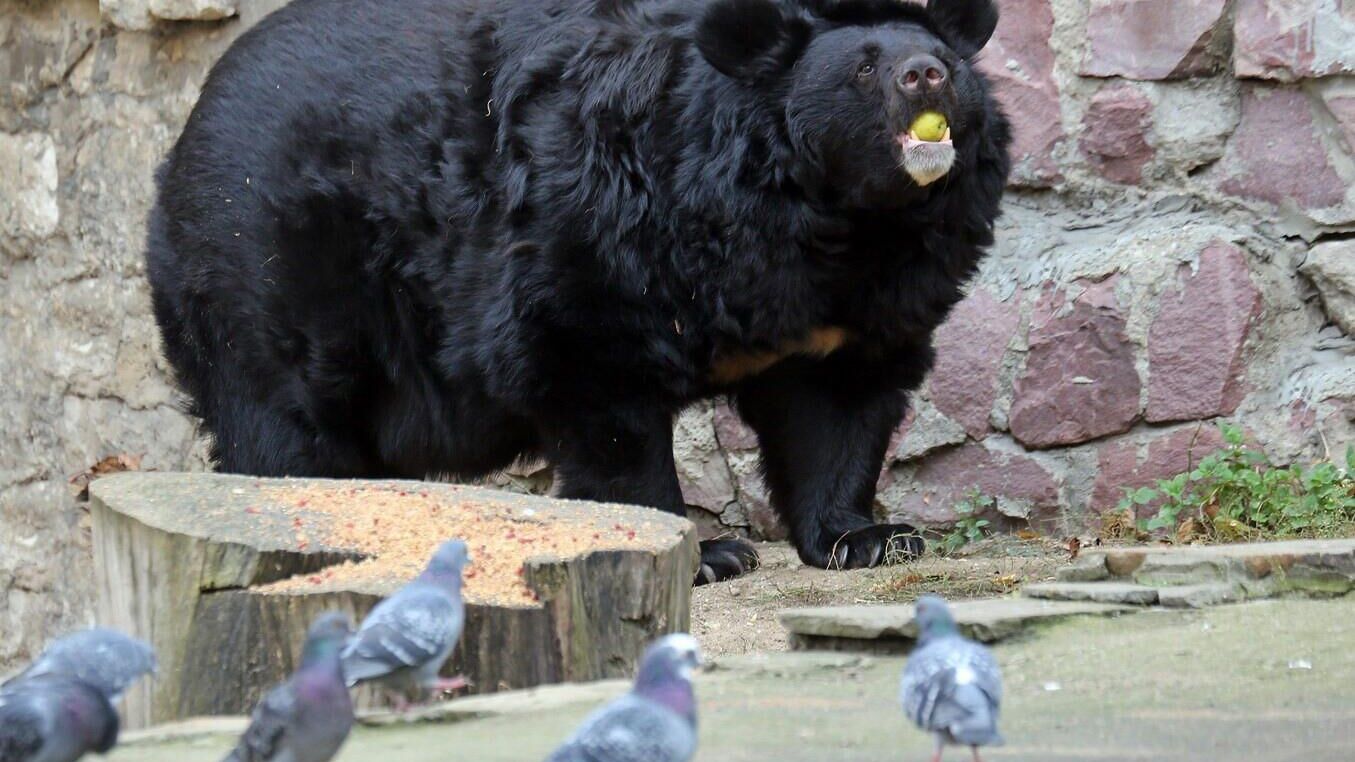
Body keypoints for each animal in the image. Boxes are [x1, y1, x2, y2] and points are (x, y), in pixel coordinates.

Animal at [153, 0, 1013, 580]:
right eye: (863, 67)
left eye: (941, 56)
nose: (924, 75)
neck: (838, 219)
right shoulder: (603, 231)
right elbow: (599, 390)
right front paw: (704, 552)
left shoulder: (859, 304)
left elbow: (838, 407)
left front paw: (865, 538)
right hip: (270, 268)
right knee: (285, 426)